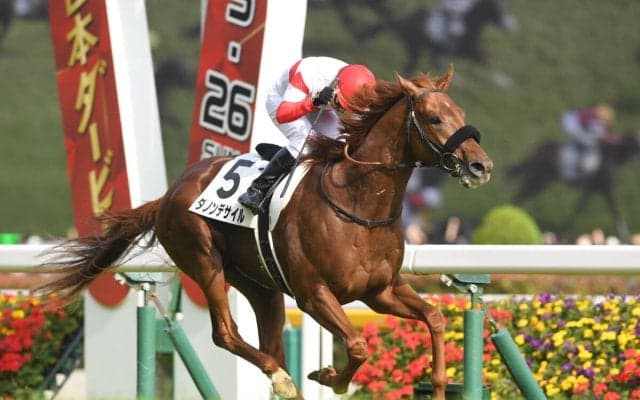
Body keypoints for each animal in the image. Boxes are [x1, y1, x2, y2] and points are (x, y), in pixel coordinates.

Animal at [38, 66, 493, 399]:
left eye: (461, 114)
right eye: (434, 118)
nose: (480, 166)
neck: (360, 204)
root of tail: (167, 195)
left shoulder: (379, 290)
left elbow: (435, 317)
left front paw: (437, 385)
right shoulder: (313, 294)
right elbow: (358, 345)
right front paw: (332, 378)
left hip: (262, 287)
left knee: (267, 340)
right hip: (204, 260)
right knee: (226, 334)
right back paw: (283, 378)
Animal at [507, 132, 640, 241]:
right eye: (636, 144)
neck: (612, 156)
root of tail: (538, 149)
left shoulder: (591, 190)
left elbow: (578, 210)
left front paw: (564, 232)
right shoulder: (607, 189)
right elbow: (616, 212)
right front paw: (626, 238)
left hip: (537, 181)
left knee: (520, 196)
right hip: (538, 181)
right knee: (519, 195)